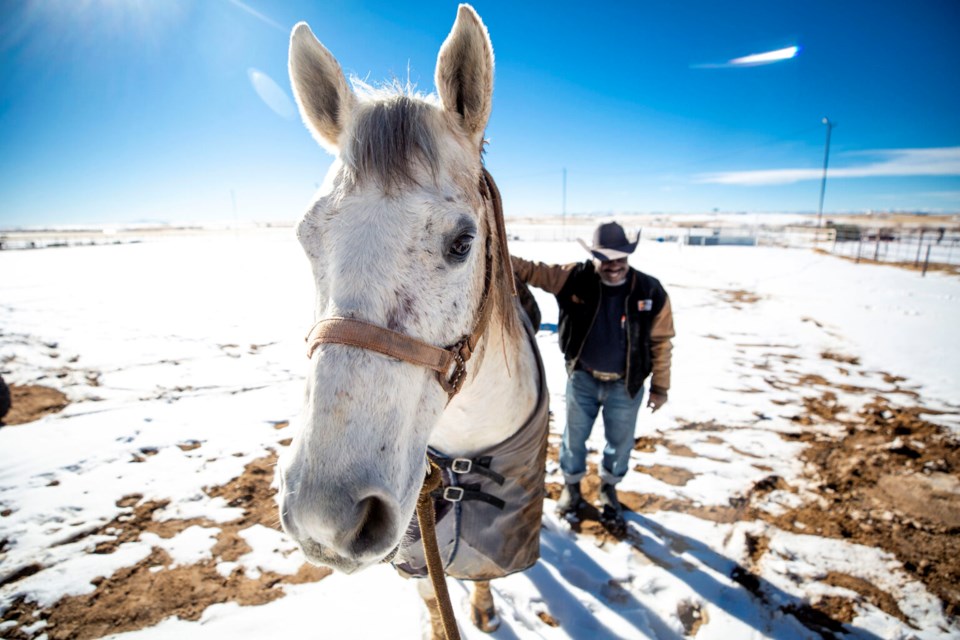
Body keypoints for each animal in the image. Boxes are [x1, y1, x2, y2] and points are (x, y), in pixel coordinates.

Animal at [278, 6, 548, 640]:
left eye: (463, 241)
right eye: (305, 238)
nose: (326, 515)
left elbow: (481, 575)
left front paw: (483, 611)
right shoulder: (414, 536)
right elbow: (430, 594)